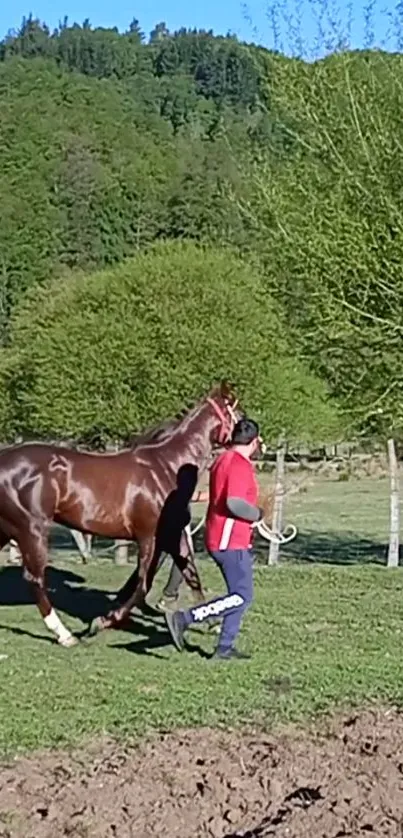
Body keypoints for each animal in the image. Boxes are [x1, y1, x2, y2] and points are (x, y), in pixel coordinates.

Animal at [0, 384, 240, 648]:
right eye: (238, 413)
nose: (257, 444)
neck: (166, 467)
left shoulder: (171, 534)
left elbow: (191, 573)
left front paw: (213, 622)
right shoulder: (149, 537)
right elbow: (143, 584)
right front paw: (101, 622)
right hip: (32, 529)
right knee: (35, 579)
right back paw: (64, 634)